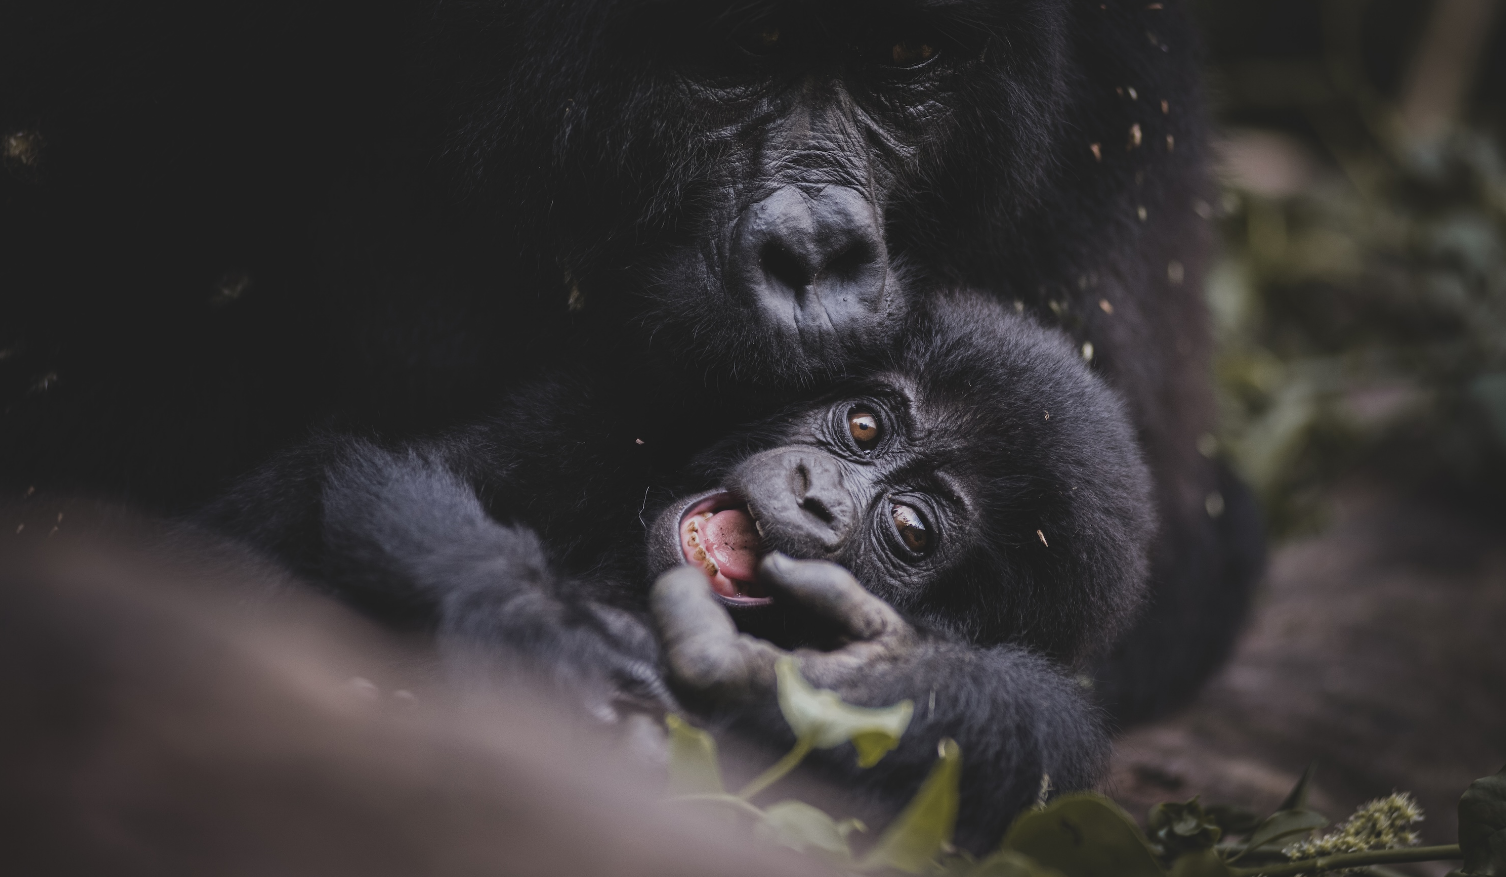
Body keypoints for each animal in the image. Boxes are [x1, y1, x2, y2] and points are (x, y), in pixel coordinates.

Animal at [200, 295, 1150, 849]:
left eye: (911, 528)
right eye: (866, 426)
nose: (815, 496)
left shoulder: (1050, 753)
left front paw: (859, 676)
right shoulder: (618, 406)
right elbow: (388, 471)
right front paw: (546, 633)